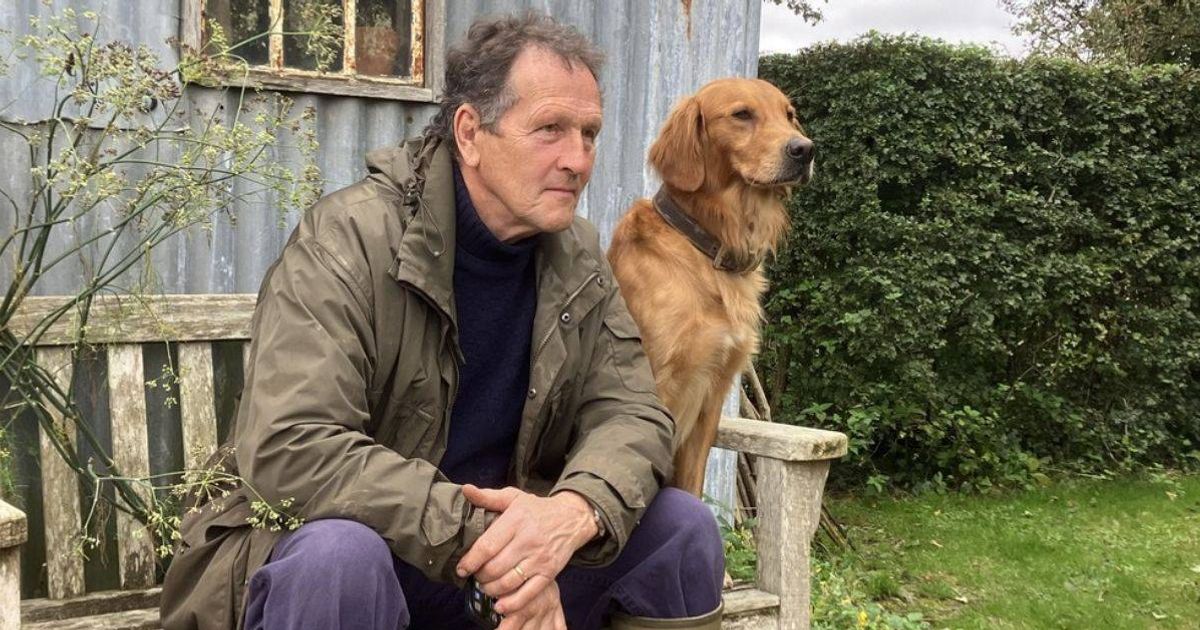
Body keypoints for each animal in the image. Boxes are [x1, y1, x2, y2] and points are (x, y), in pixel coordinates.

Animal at [607, 78, 814, 496]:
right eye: (742, 114)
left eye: (789, 115)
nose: (805, 150)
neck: (707, 249)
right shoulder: (656, 389)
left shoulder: (712, 396)